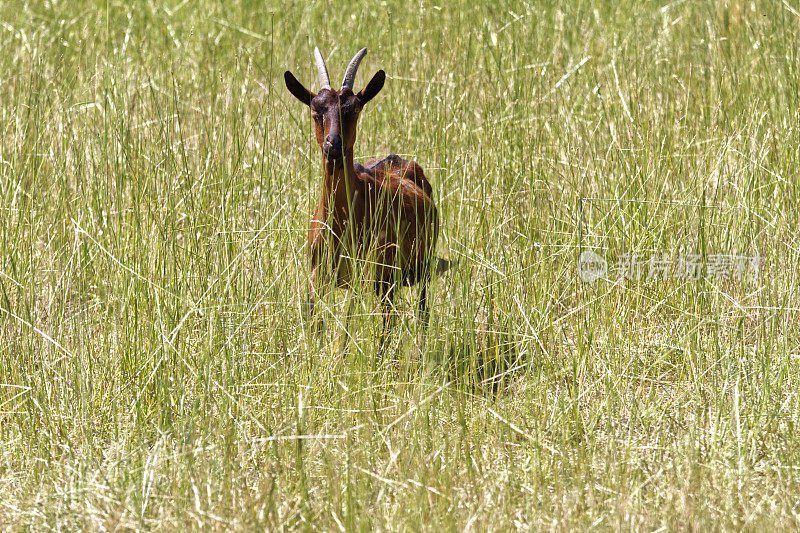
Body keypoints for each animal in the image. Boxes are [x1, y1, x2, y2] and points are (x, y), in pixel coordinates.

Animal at [284, 46, 440, 350]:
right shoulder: (317, 276)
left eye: (353, 110)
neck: (341, 221)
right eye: (316, 111)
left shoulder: (371, 276)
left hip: (414, 270)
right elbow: (315, 321)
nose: (333, 144)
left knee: (414, 315)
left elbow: (352, 329)